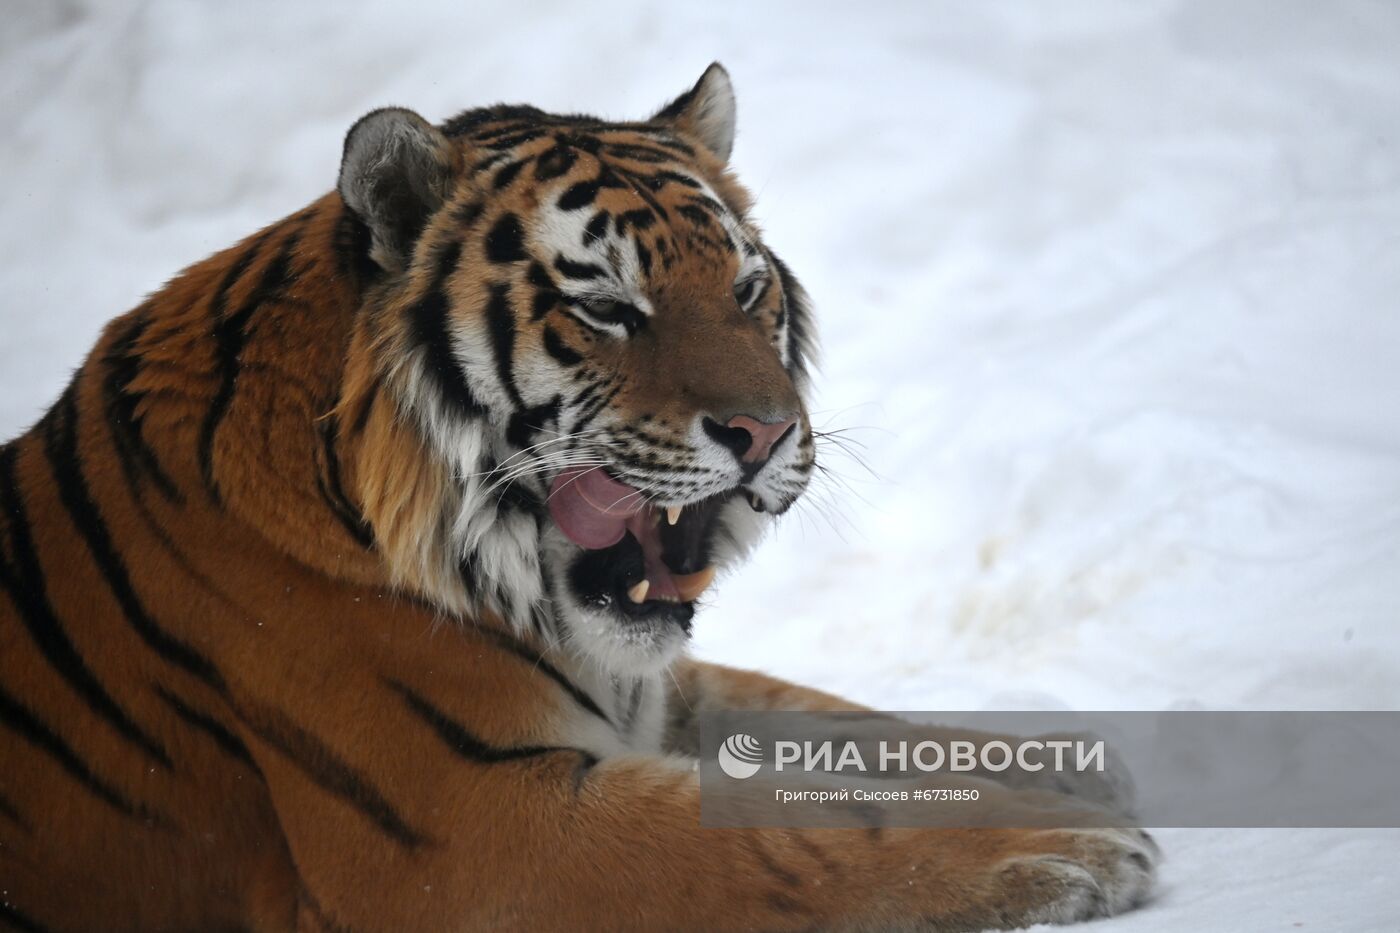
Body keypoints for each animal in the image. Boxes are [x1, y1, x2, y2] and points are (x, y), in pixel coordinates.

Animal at [0, 67, 1153, 930]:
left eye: (746, 291)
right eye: (606, 307)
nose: (765, 432)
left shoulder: (647, 688)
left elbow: (827, 716)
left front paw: (1065, 764)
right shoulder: (478, 830)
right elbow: (794, 833)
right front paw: (1073, 839)